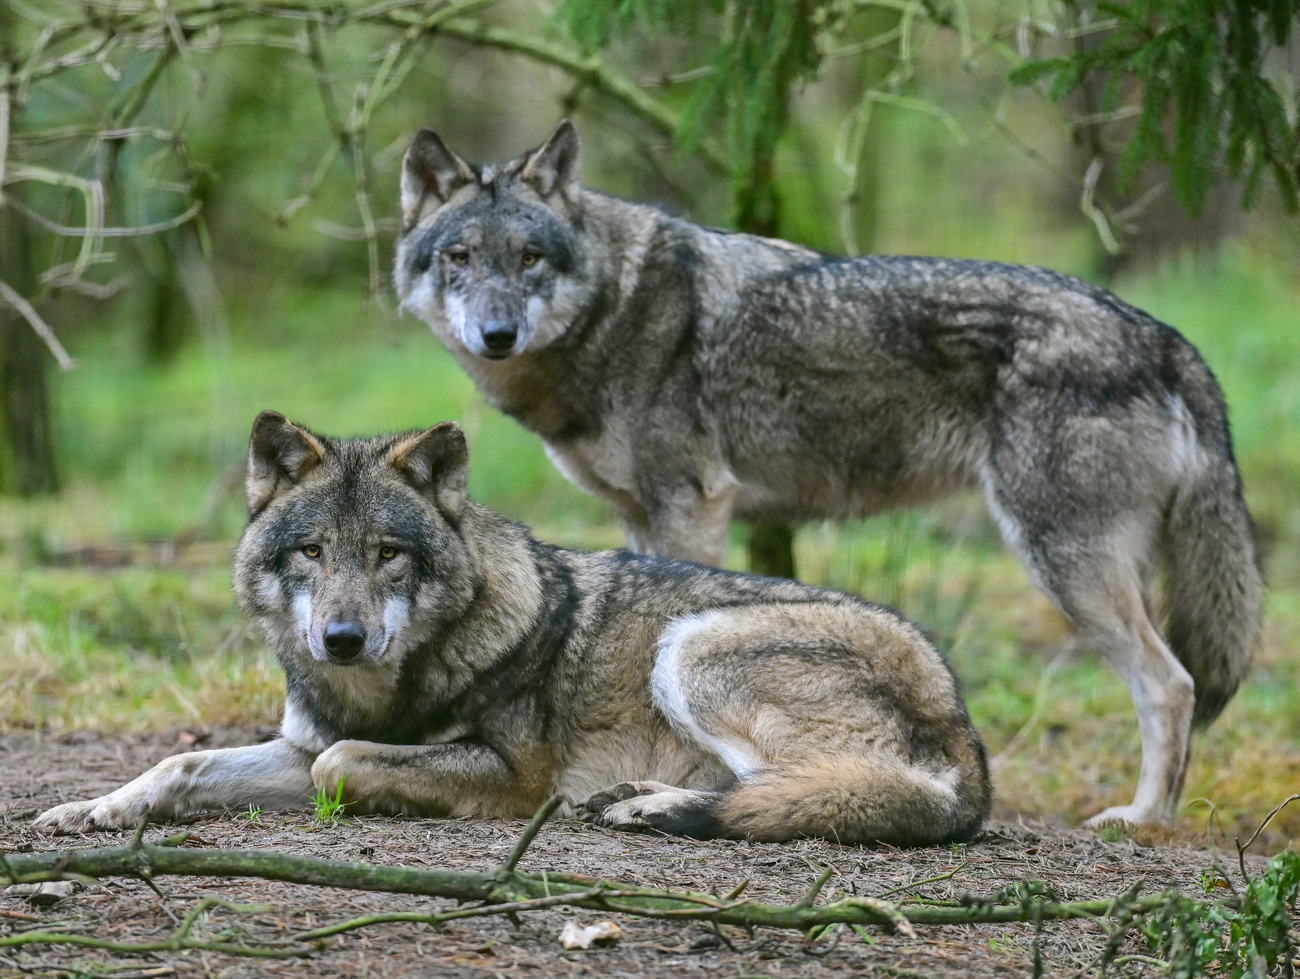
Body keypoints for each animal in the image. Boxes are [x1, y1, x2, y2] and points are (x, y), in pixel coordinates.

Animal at [32, 408, 993, 842]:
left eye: (388, 554)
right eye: (311, 551)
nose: (341, 639)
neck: (386, 688)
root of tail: (965, 728)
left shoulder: (509, 773)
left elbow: (344, 766)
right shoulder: (302, 742)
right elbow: (183, 763)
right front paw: (90, 807)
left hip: (694, 646)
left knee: (812, 789)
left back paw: (653, 806)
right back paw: (635, 798)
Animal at [387, 120, 1258, 826]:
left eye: (529, 258)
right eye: (460, 258)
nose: (497, 333)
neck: (615, 308)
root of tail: (1163, 335)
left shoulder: (691, 506)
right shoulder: (642, 516)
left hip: (1062, 562)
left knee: (1172, 685)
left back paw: (1144, 820)